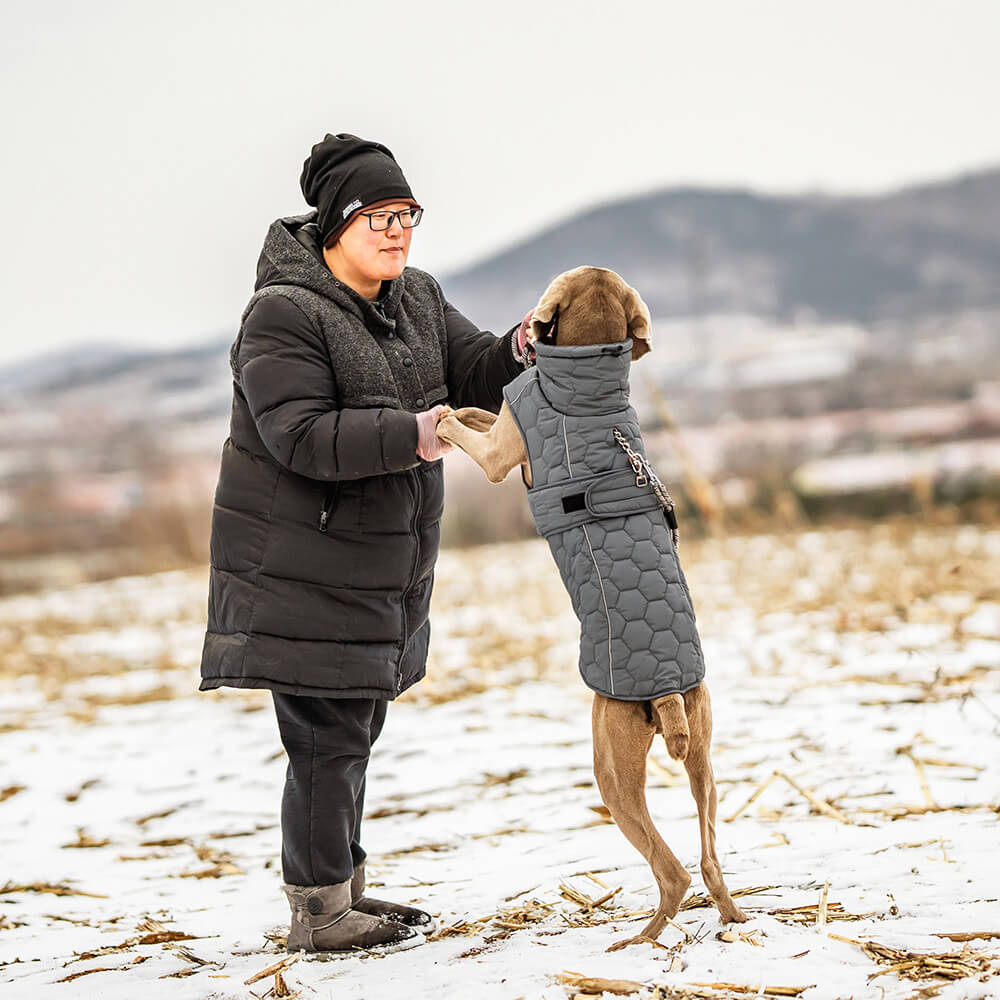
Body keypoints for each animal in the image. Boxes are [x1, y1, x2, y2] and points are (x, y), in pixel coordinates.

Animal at [434, 268, 748, 952]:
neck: (588, 381)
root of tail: (666, 690)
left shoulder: (499, 456)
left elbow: (471, 434)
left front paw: (442, 417)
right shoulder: (510, 431)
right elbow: (486, 413)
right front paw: (462, 405)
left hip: (612, 766)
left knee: (673, 870)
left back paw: (635, 942)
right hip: (705, 757)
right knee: (711, 859)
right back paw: (732, 922)